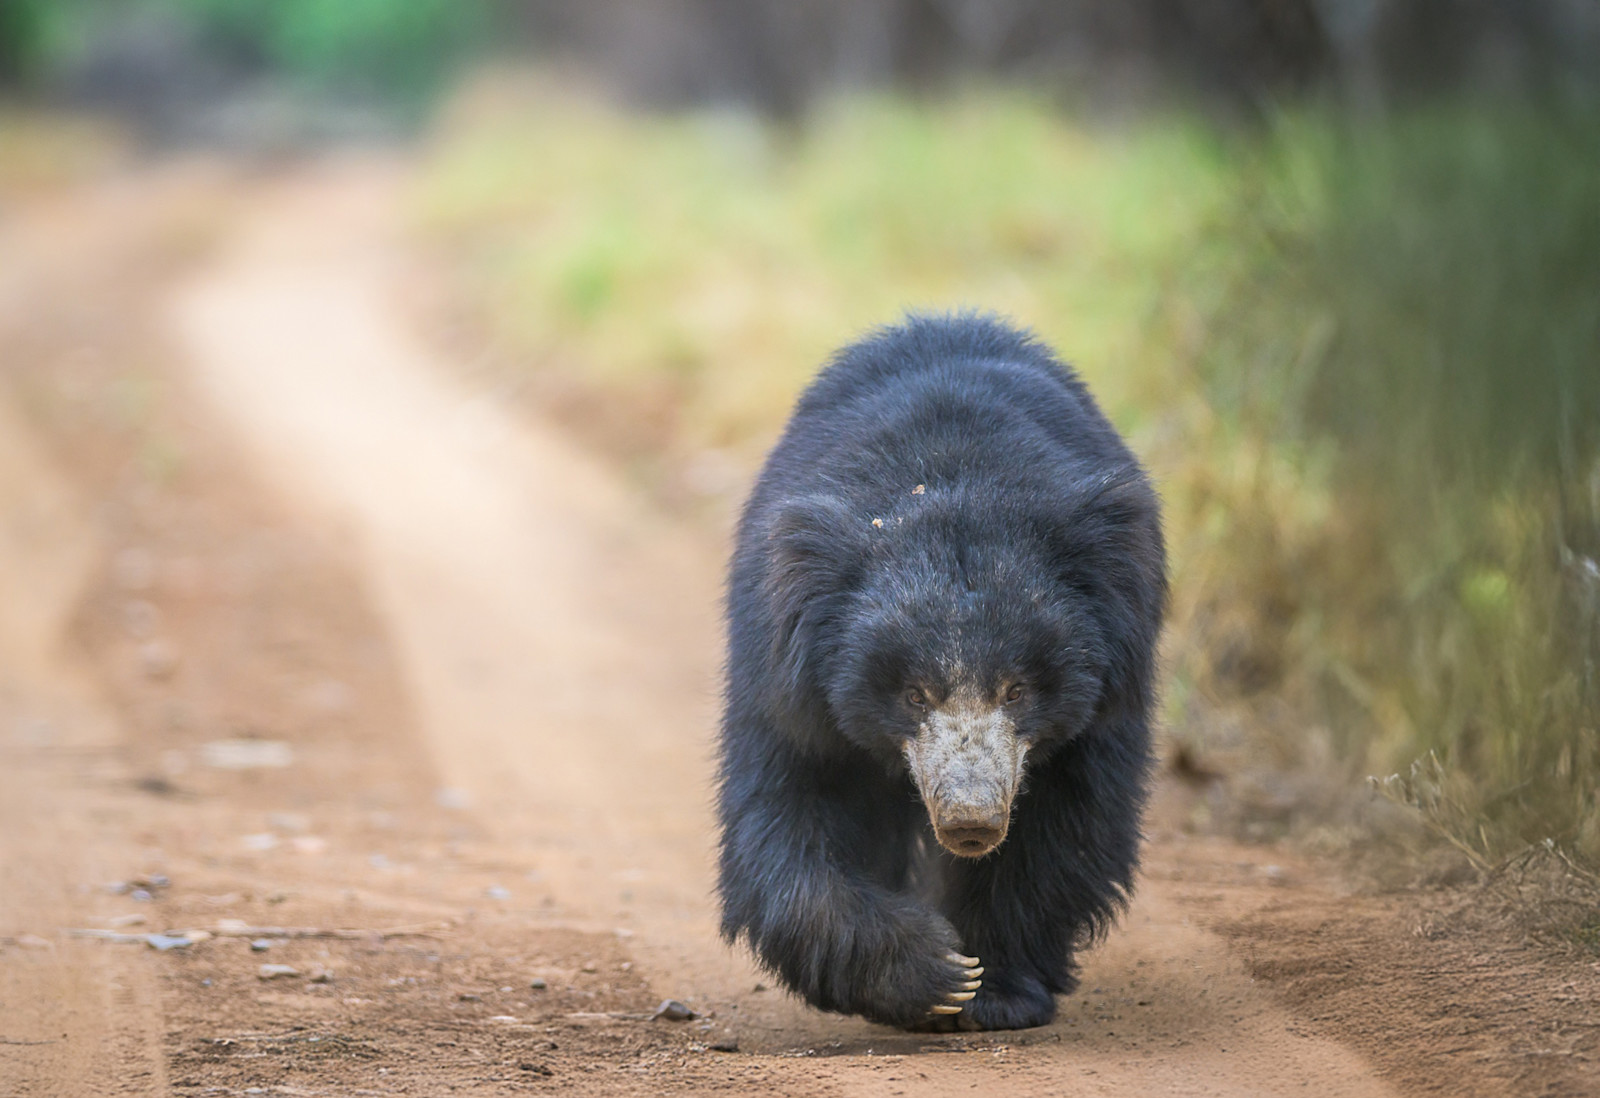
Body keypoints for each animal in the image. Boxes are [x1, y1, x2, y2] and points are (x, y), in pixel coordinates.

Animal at [716, 313, 1166, 1031]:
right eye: (914, 694)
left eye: (1017, 688)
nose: (970, 821)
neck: (952, 483)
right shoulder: (788, 679)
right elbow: (790, 814)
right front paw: (934, 974)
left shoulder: (1105, 697)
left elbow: (1062, 830)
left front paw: (992, 988)